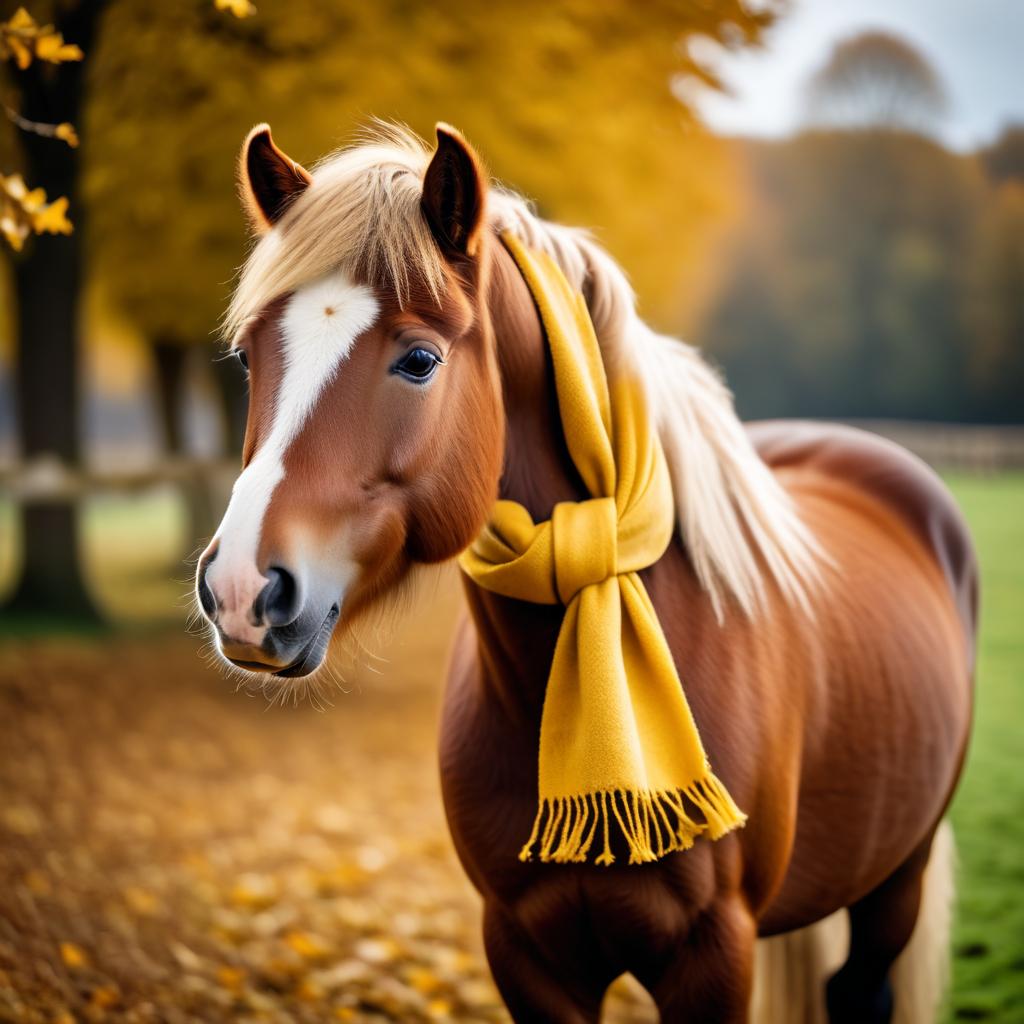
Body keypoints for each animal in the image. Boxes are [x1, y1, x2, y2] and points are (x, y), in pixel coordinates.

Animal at [193, 121, 974, 1024]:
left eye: (419, 360)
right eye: (248, 359)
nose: (242, 589)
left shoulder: (715, 955)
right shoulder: (525, 952)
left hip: (898, 878)